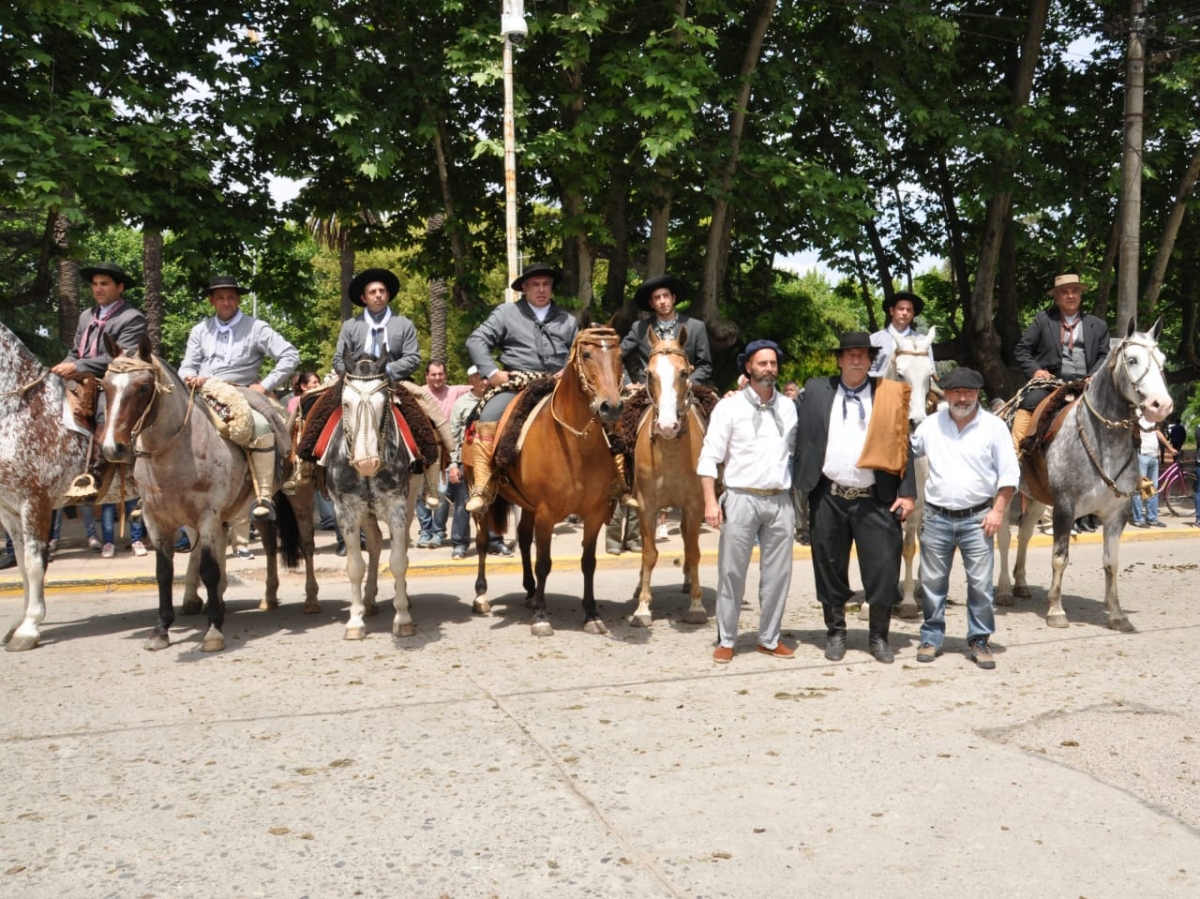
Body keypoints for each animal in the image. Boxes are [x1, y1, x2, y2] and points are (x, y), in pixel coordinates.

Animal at [0, 321, 93, 652]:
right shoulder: (9, 510)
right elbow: (22, 567)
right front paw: (18, 623)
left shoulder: (35, 502)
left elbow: (34, 564)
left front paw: (29, 628)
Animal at [102, 336, 300, 652]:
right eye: (105, 386)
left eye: (143, 387)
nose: (113, 448)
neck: (174, 453)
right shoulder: (157, 520)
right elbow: (165, 572)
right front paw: (161, 629)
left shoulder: (207, 514)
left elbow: (208, 568)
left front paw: (213, 631)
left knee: (272, 547)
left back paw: (270, 597)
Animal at [468, 326, 624, 633]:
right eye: (586, 355)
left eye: (619, 355)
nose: (610, 407)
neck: (575, 446)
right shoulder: (547, 512)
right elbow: (544, 562)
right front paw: (541, 617)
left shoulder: (594, 512)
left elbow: (588, 562)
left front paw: (591, 614)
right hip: (483, 497)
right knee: (481, 541)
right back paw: (481, 595)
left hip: (526, 504)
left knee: (522, 537)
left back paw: (529, 591)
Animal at [624, 326, 705, 628]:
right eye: (649, 374)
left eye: (684, 372)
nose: (667, 426)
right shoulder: (646, 505)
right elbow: (649, 554)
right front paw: (642, 607)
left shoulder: (695, 505)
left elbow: (693, 552)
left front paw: (697, 605)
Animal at [993, 319, 1171, 628]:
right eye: (1132, 360)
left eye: (1162, 360)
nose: (1161, 405)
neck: (1103, 442)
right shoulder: (1065, 508)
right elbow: (1059, 558)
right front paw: (1056, 610)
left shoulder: (1117, 513)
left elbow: (1111, 561)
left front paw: (1116, 613)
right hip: (1007, 495)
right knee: (1004, 537)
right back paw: (1004, 590)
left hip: (1037, 497)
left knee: (1025, 533)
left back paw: (1021, 584)